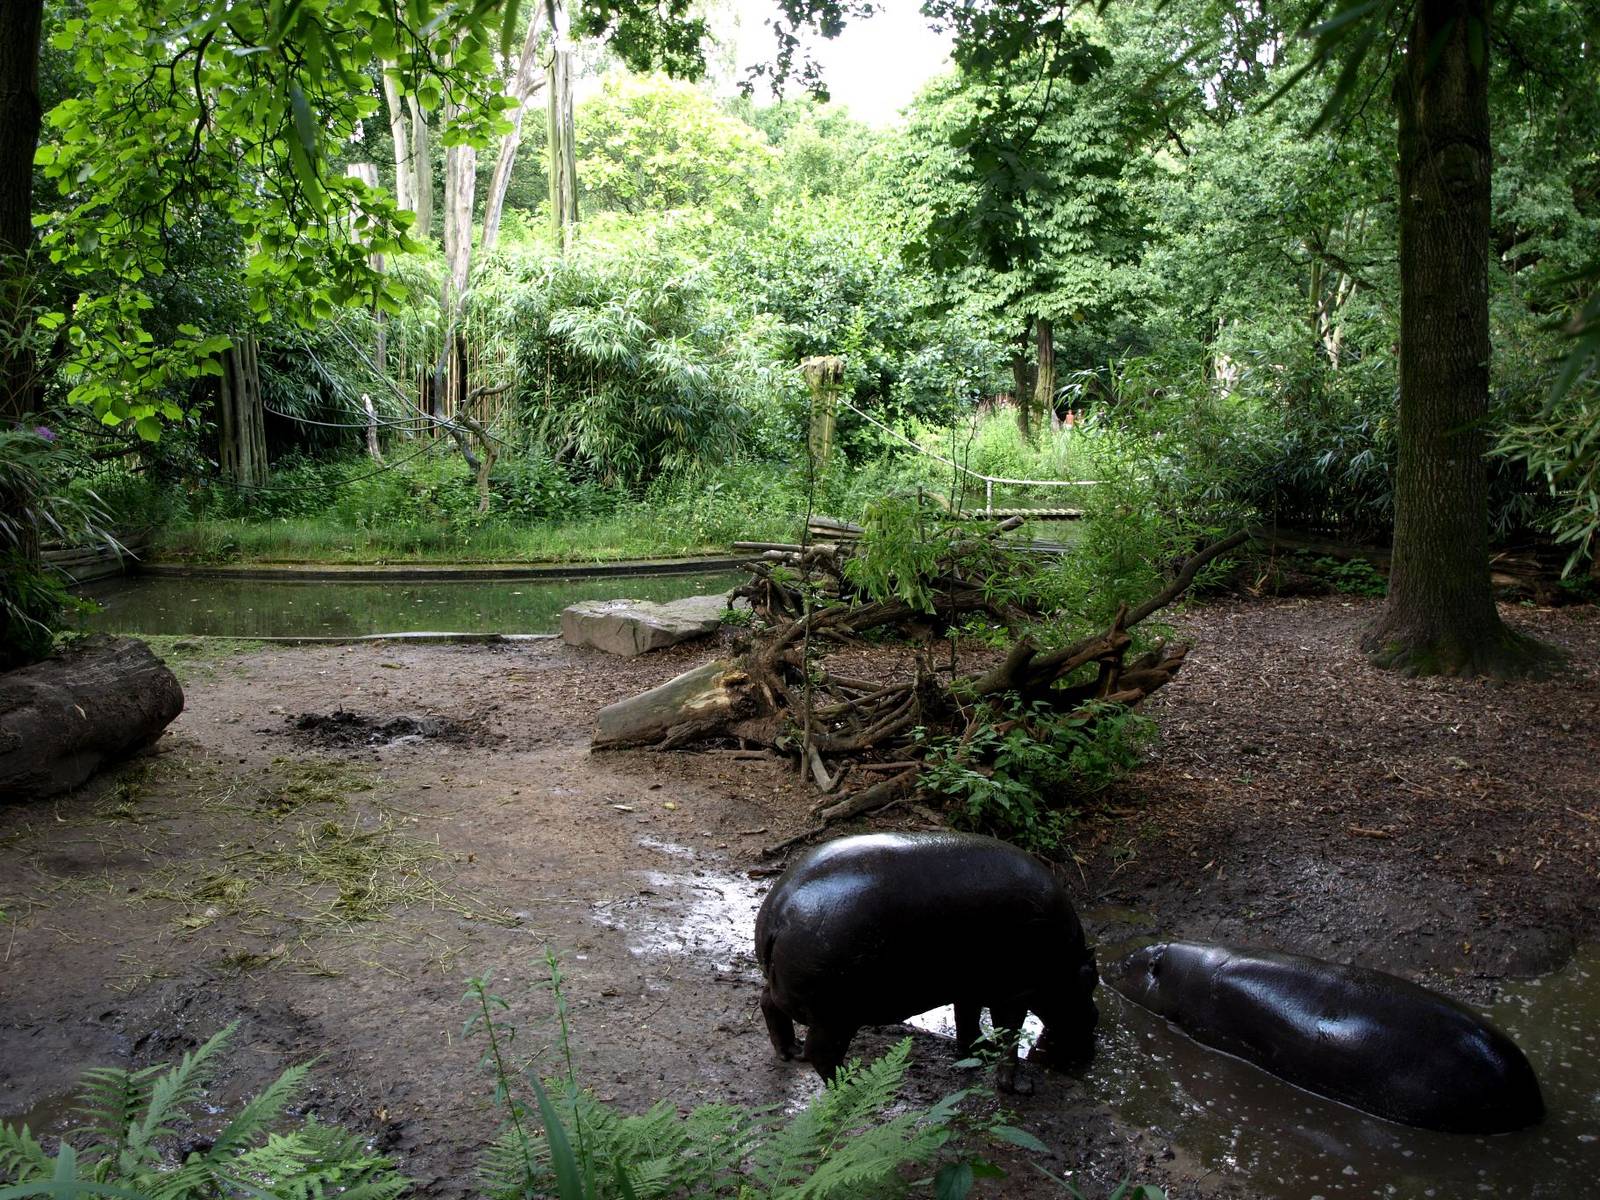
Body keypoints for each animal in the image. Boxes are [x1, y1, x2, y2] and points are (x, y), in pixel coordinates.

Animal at [754, 832, 1099, 1092]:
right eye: (1091, 981)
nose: (1095, 1019)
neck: (1066, 960)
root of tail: (781, 910)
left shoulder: (969, 986)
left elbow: (967, 1021)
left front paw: (977, 1052)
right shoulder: (1015, 993)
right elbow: (1009, 1037)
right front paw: (1019, 1086)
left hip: (799, 997)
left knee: (768, 1004)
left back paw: (789, 1051)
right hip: (836, 1017)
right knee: (821, 1055)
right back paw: (853, 1087)